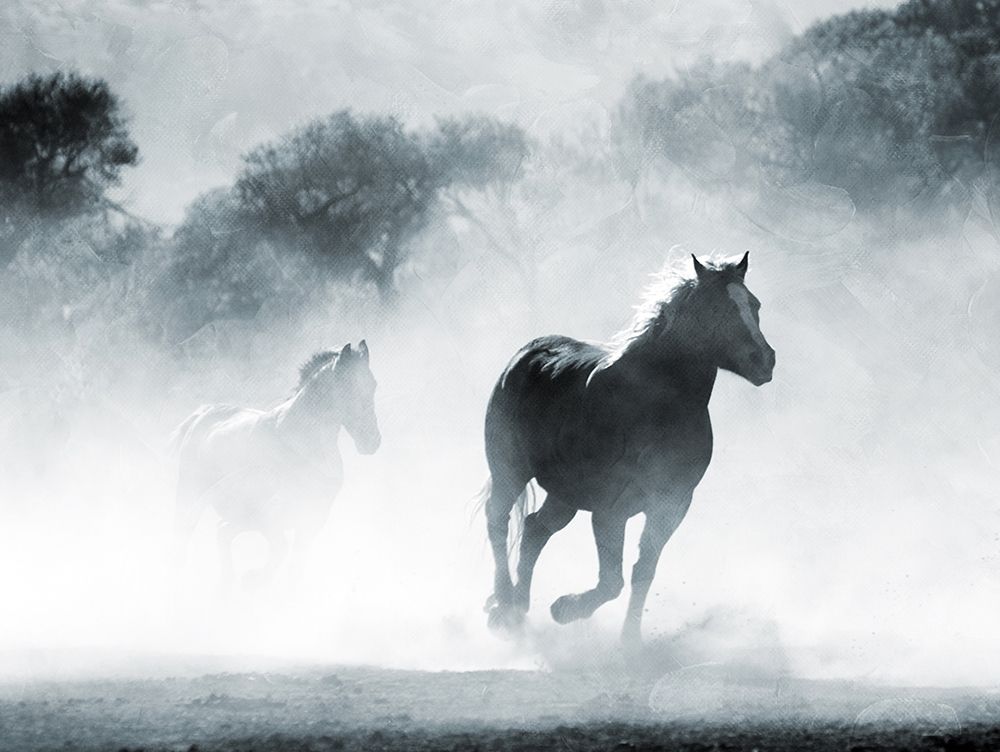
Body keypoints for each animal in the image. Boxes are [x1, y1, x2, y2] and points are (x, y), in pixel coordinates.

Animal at [171, 341, 380, 590]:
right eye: (347, 386)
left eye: (373, 384)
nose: (372, 441)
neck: (303, 444)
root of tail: (201, 414)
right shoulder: (268, 515)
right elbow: (278, 549)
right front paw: (253, 579)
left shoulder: (311, 519)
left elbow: (294, 569)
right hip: (190, 495)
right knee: (186, 540)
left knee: (221, 534)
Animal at [482, 252, 775, 645]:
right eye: (716, 308)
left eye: (754, 304)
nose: (765, 360)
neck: (656, 407)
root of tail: (527, 353)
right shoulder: (610, 508)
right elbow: (612, 581)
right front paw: (565, 608)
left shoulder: (671, 505)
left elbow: (642, 571)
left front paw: (630, 640)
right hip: (509, 470)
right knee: (498, 520)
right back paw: (503, 604)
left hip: (565, 494)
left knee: (534, 530)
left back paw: (518, 607)